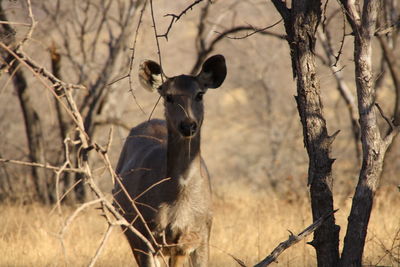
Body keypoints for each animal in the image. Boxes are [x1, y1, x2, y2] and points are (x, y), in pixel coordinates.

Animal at [114, 55, 227, 267]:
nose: (188, 125)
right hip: (130, 230)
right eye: (168, 96)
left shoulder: (201, 236)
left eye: (199, 94)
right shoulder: (147, 235)